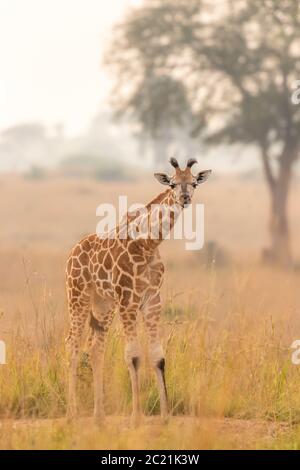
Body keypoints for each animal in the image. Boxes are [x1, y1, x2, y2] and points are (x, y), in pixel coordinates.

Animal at [65, 159, 211, 426]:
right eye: (173, 183)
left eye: (193, 183)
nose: (184, 198)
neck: (148, 244)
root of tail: (72, 251)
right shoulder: (128, 300)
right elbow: (133, 355)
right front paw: (136, 417)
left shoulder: (152, 301)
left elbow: (158, 356)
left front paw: (165, 416)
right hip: (78, 294)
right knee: (72, 343)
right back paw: (72, 414)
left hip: (103, 303)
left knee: (95, 348)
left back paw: (99, 416)